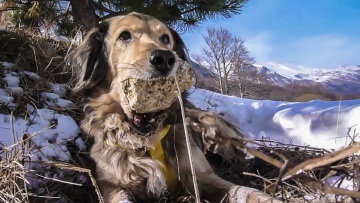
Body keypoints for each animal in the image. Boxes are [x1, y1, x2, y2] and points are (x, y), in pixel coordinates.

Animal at [71, 12, 249, 203]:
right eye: (124, 36)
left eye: (165, 38)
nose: (164, 59)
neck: (146, 142)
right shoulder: (111, 185)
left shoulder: (202, 176)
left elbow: (244, 191)